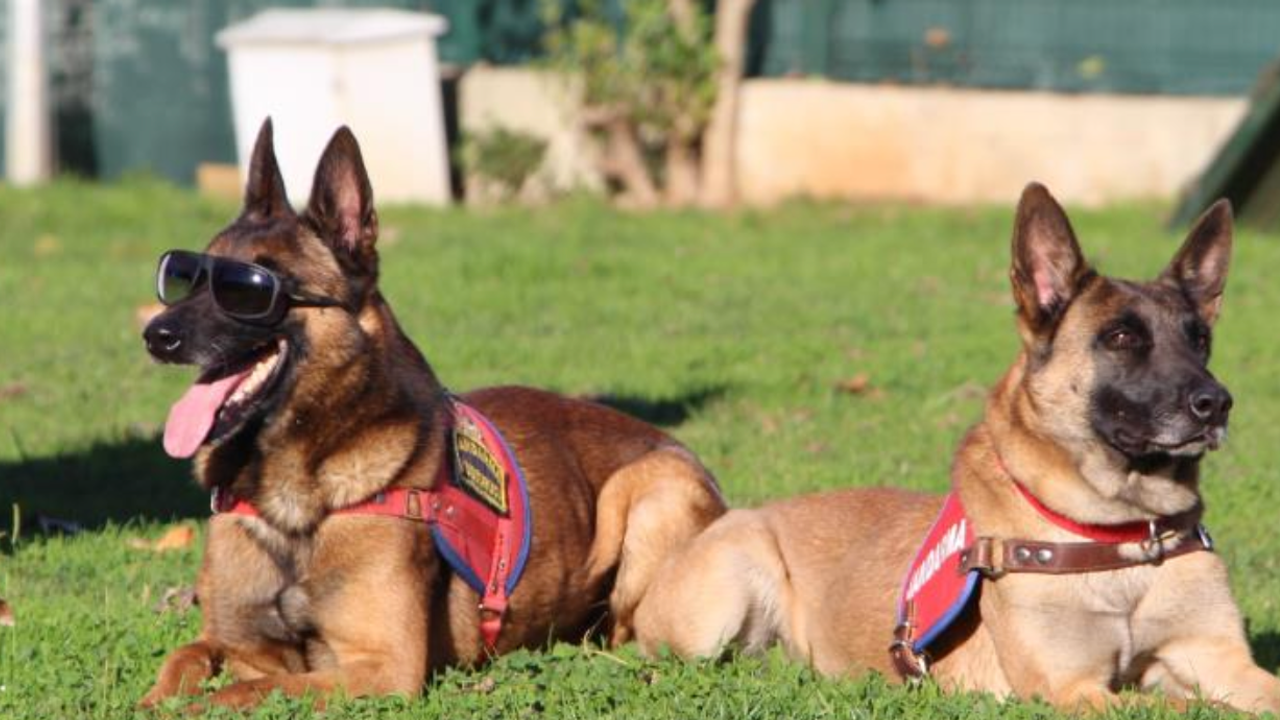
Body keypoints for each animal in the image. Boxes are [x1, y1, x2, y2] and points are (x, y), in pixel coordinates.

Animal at [138, 119, 725, 708]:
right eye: (186, 277)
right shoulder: (233, 641)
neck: (288, 499)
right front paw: (154, 697)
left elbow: (239, 693)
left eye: (248, 291)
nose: (156, 335)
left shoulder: (382, 667)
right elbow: (184, 662)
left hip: (651, 492)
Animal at [633, 183, 1280, 713]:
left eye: (1200, 340)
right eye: (1122, 338)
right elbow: (1192, 706)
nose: (1217, 403)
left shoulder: (1218, 657)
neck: (1124, 538)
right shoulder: (1073, 688)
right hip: (733, 586)